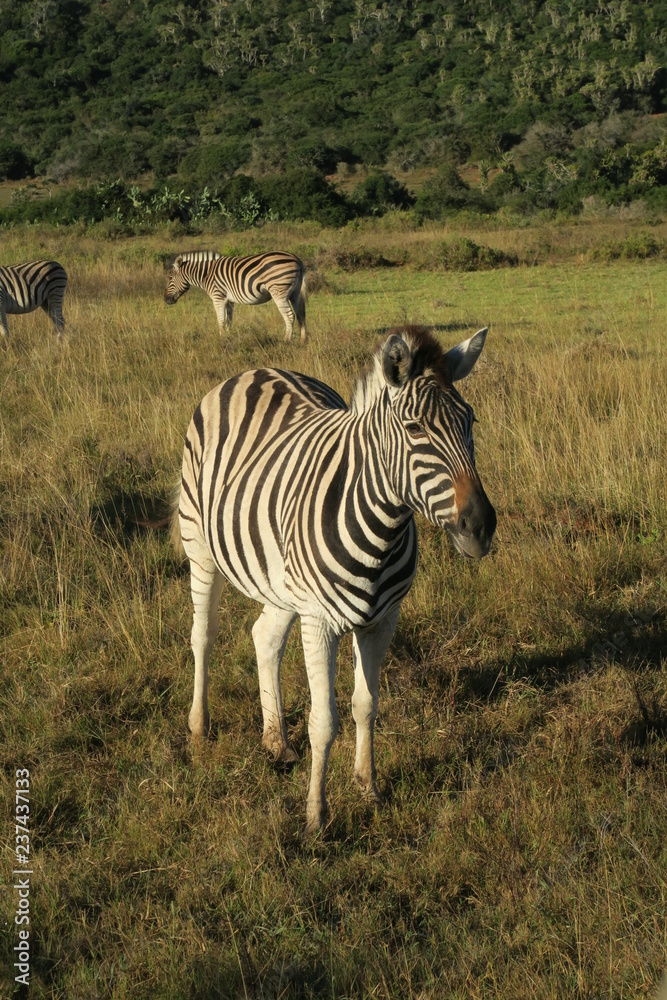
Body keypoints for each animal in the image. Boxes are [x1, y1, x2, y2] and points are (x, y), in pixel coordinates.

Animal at [164, 249, 307, 342]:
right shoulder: (229, 300)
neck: (206, 274)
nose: (165, 300)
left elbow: (221, 321)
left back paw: (286, 341)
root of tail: (297, 260)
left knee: (290, 316)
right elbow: (228, 321)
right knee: (300, 314)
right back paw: (303, 341)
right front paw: (228, 339)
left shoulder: (218, 297)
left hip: (279, 291)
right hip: (295, 293)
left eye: (170, 278)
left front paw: (222, 341)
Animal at [173, 324, 496, 835]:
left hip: (281, 580)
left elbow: (367, 704)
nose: (481, 527)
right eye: (415, 429)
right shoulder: (320, 622)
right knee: (203, 635)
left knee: (264, 637)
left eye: (472, 422)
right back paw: (200, 728)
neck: (383, 525)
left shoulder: (384, 619)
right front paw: (316, 816)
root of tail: (255, 369)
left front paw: (368, 787)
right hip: (201, 549)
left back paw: (275, 740)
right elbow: (324, 722)